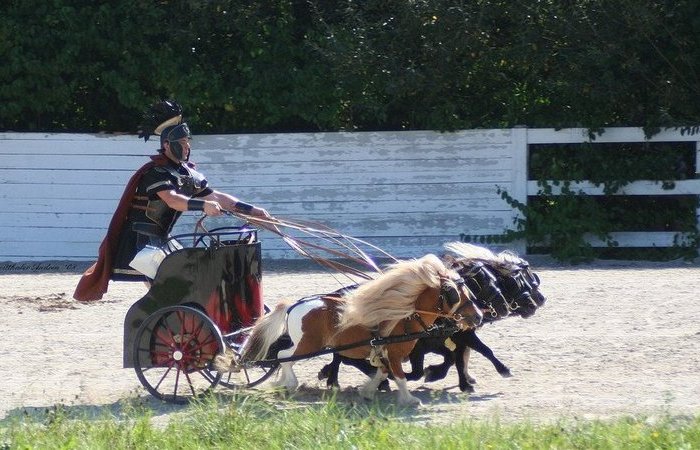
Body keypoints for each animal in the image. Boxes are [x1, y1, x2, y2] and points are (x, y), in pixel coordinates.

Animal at [217, 255, 482, 406]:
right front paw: (409, 399)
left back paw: (283, 382)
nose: (479, 316)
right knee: (284, 357)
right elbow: (399, 376)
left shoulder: (384, 353)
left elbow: (381, 373)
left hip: (304, 343)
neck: (403, 316)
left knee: (283, 357)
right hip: (308, 345)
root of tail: (294, 305)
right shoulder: (395, 354)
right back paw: (289, 383)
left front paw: (367, 391)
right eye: (459, 296)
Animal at [318, 241, 548, 392]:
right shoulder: (437, 341)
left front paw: (460, 379)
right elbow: (477, 351)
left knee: (343, 357)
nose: (537, 301)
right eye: (515, 282)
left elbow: (457, 357)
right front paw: (501, 370)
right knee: (343, 357)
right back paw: (343, 379)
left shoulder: (449, 338)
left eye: (529, 280)